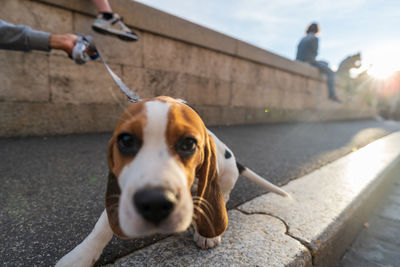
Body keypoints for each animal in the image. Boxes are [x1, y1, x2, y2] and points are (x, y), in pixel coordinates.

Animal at [56, 97, 290, 267]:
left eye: (188, 143)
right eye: (126, 140)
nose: (155, 203)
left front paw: (205, 233)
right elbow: (102, 227)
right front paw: (80, 257)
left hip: (228, 174)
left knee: (224, 194)